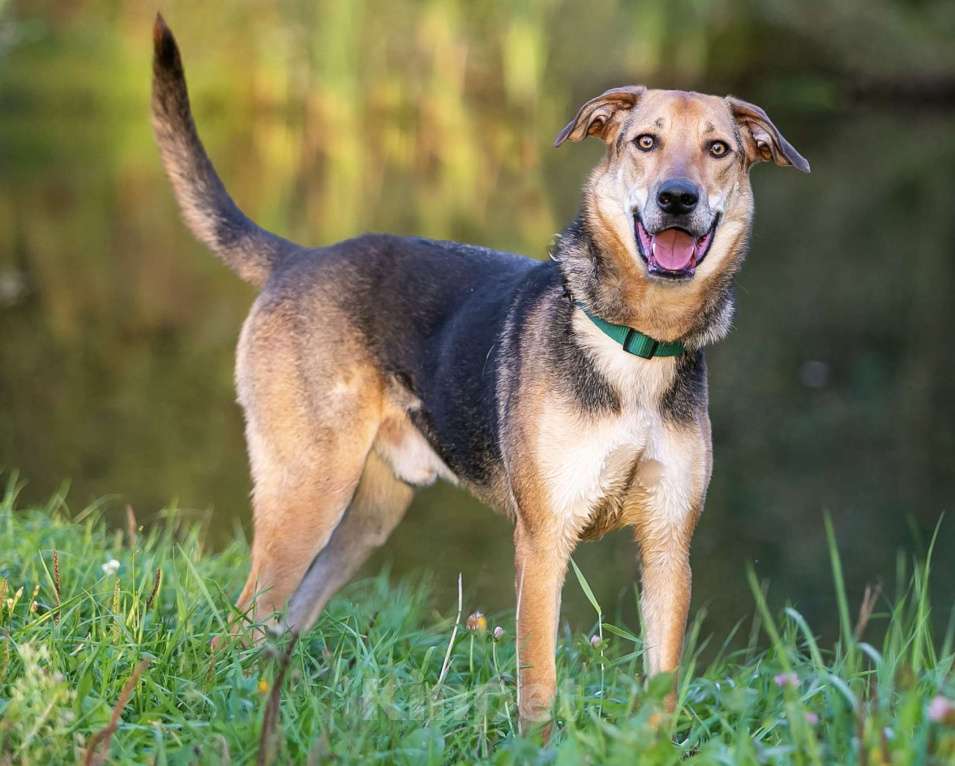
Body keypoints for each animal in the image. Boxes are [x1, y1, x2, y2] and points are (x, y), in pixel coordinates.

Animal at [153, 13, 812, 732]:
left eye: (718, 149)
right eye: (645, 141)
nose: (676, 198)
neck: (637, 346)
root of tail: (297, 258)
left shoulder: (667, 544)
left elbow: (660, 688)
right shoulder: (545, 540)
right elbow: (538, 680)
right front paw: (535, 744)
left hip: (364, 516)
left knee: (283, 624)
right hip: (307, 490)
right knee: (242, 622)